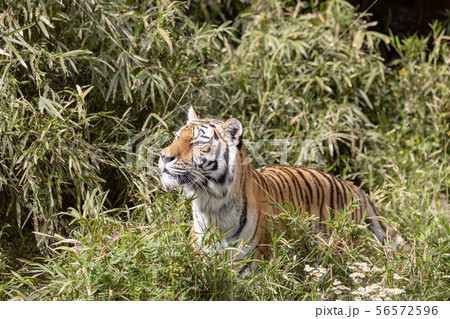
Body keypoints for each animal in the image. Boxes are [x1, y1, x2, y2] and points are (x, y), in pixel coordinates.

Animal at [158, 106, 412, 266]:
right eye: (177, 137)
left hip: (338, 252)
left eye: (198, 142)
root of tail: (354, 188)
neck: (210, 203)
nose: (163, 156)